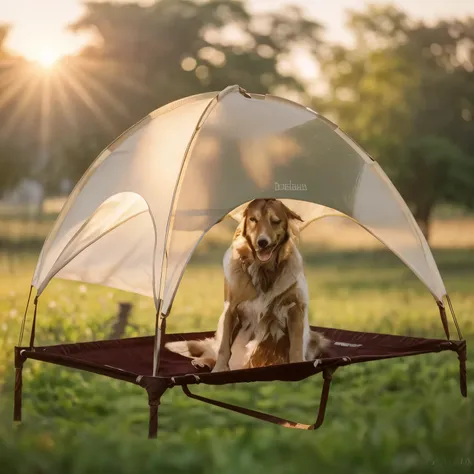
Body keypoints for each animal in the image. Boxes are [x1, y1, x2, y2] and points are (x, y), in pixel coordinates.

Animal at [165, 198, 328, 372]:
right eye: (253, 220)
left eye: (275, 221)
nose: (262, 242)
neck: (263, 270)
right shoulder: (230, 310)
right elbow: (224, 348)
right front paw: (219, 369)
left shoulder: (295, 308)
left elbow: (296, 347)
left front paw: (298, 363)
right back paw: (205, 361)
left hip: (316, 339)